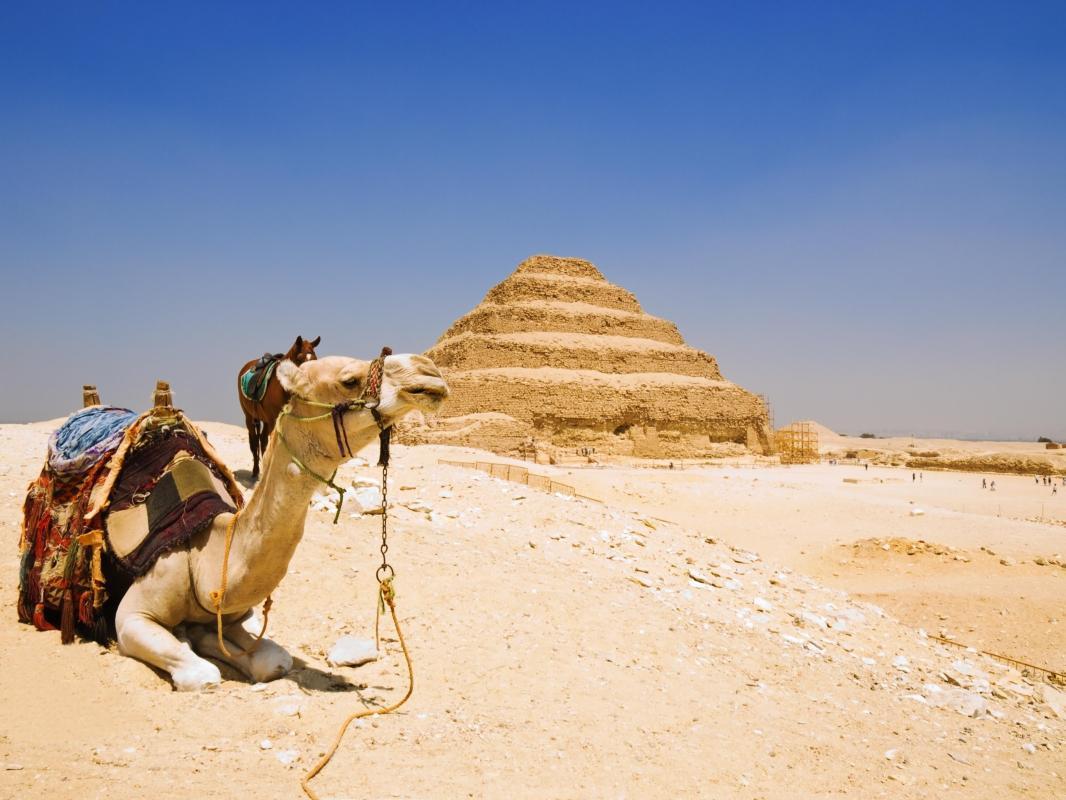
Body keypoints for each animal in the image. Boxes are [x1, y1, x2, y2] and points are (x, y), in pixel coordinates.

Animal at [114, 354, 447, 691]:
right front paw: (188, 639)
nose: (428, 371)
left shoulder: (233, 614)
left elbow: (274, 659)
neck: (204, 555)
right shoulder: (130, 617)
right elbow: (204, 674)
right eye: (349, 380)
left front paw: (197, 634)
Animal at [240, 334, 319, 480]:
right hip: (250, 418)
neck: (282, 388)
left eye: (315, 359)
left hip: (265, 420)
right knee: (255, 444)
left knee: (262, 442)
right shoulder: (274, 421)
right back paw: (255, 472)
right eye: (300, 359)